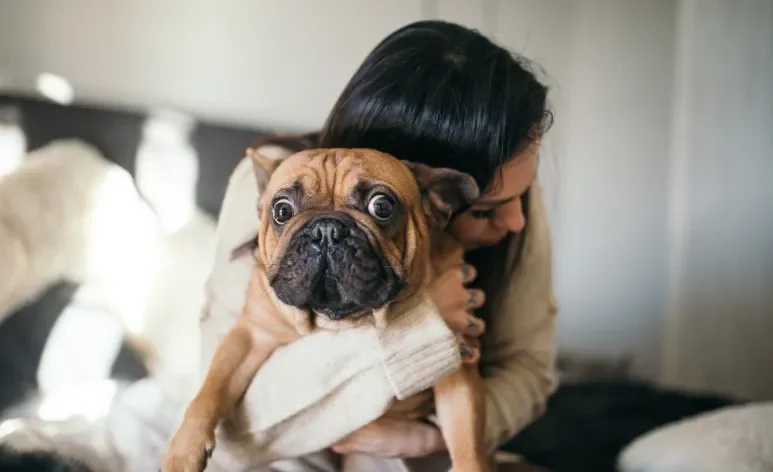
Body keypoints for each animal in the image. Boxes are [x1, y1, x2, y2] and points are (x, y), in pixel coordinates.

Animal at [164, 148, 488, 472]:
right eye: (282, 211)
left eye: (381, 206)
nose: (326, 230)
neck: (337, 320)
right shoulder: (250, 336)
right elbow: (212, 387)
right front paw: (185, 448)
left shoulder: (456, 366)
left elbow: (467, 442)